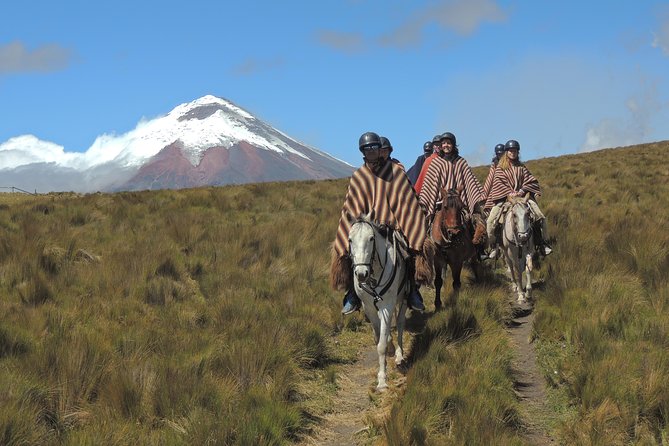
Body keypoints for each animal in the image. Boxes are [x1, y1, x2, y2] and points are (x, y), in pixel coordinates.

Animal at [348, 214, 410, 388]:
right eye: (350, 240)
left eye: (371, 238)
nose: (361, 274)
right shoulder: (369, 307)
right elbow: (379, 338)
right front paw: (389, 347)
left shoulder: (386, 306)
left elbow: (381, 346)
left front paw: (382, 380)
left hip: (403, 299)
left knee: (400, 323)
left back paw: (399, 355)